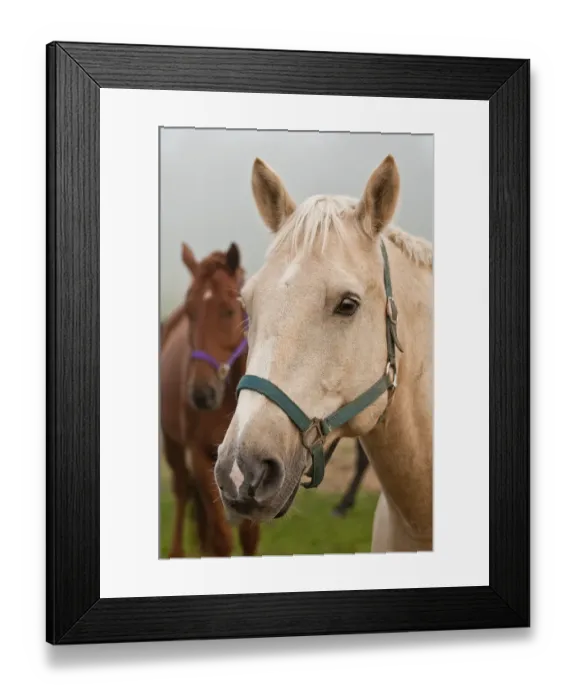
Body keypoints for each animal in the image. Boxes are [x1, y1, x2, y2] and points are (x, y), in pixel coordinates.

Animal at [160, 242, 260, 557]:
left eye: (229, 310)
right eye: (191, 311)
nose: (202, 395)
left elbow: (249, 535)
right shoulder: (199, 455)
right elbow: (221, 537)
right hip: (172, 445)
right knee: (182, 492)